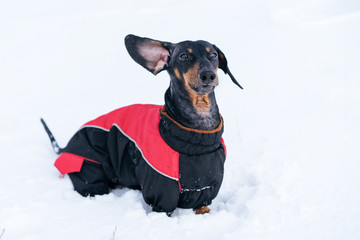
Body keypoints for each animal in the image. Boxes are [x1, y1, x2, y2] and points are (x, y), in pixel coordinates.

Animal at [42, 33, 242, 216]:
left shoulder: (207, 187)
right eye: (184, 56)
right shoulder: (161, 193)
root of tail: (66, 146)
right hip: (89, 172)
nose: (208, 74)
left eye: (213, 55)